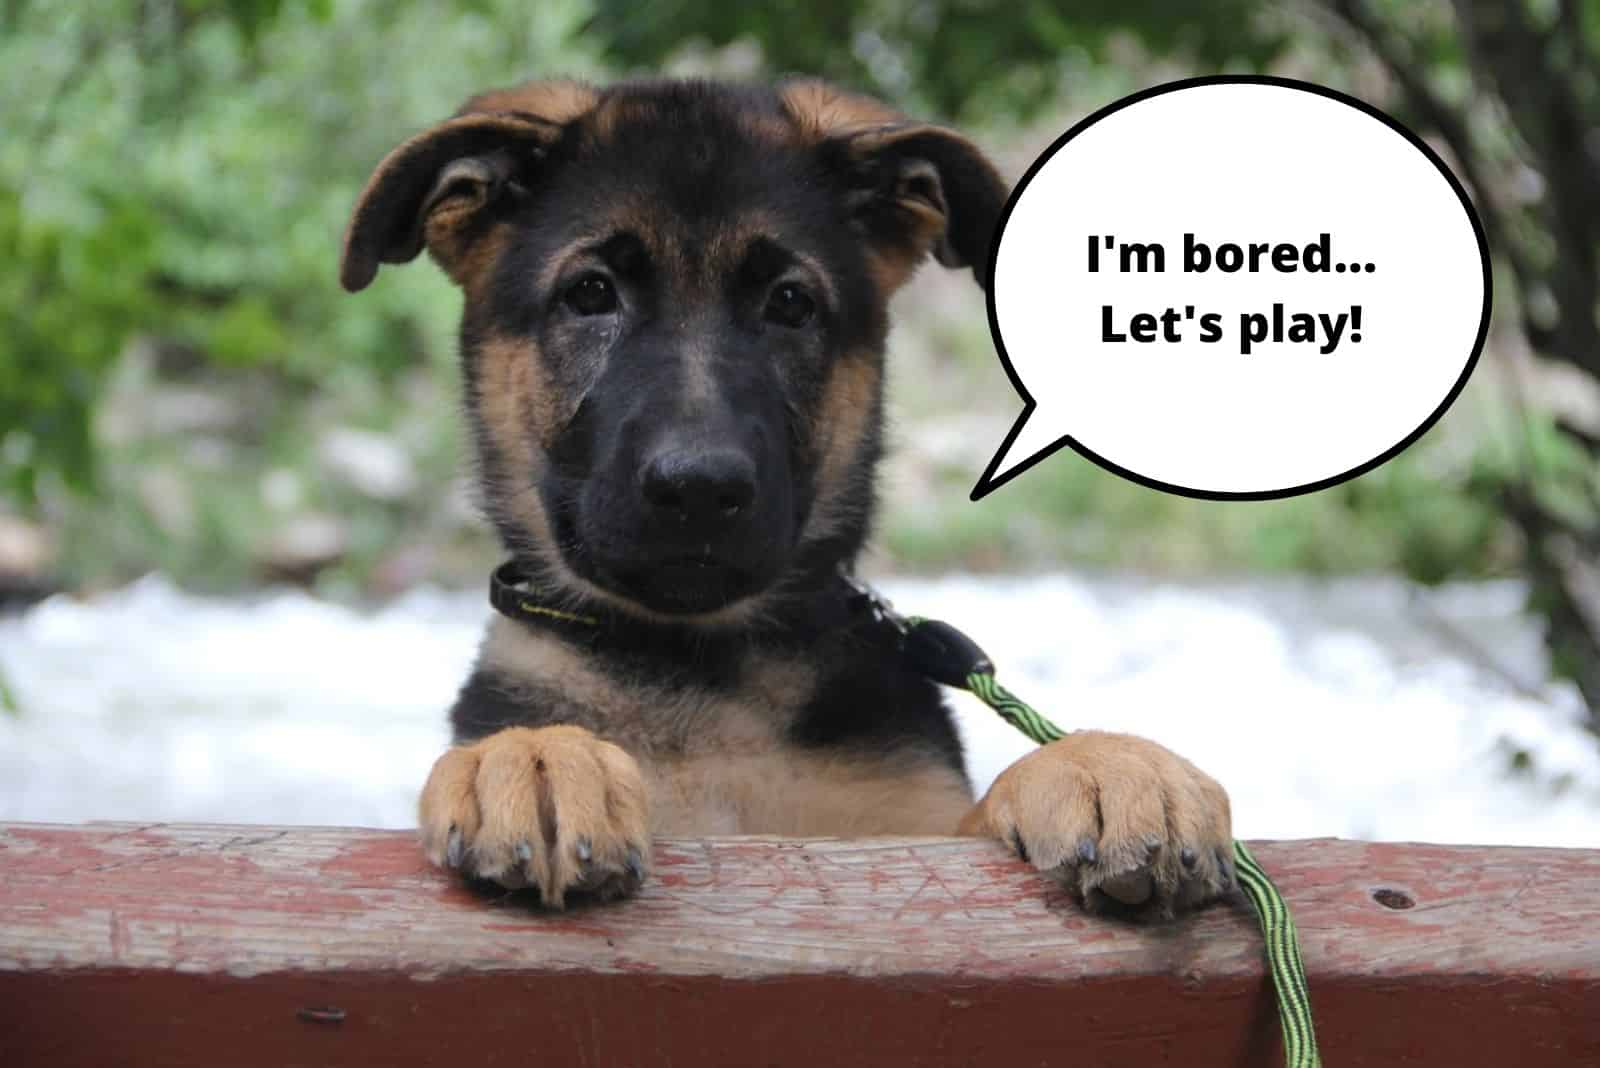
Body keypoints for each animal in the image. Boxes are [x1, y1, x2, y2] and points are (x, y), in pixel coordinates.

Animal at [344, 79, 1228, 920]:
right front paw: (535, 756)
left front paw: (1103, 764)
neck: (701, 670)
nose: (699, 489)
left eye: (791, 303)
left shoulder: (908, 836)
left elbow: (978, 814)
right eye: (590, 294)